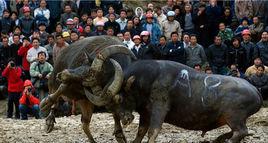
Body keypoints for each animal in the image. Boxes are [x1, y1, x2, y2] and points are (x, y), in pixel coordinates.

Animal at [111, 60, 262, 143]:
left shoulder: (159, 108)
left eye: (119, 98)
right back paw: (219, 139)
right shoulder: (145, 113)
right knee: (239, 132)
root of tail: (255, 90)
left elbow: (153, 132)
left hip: (233, 116)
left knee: (241, 131)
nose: (124, 118)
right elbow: (140, 132)